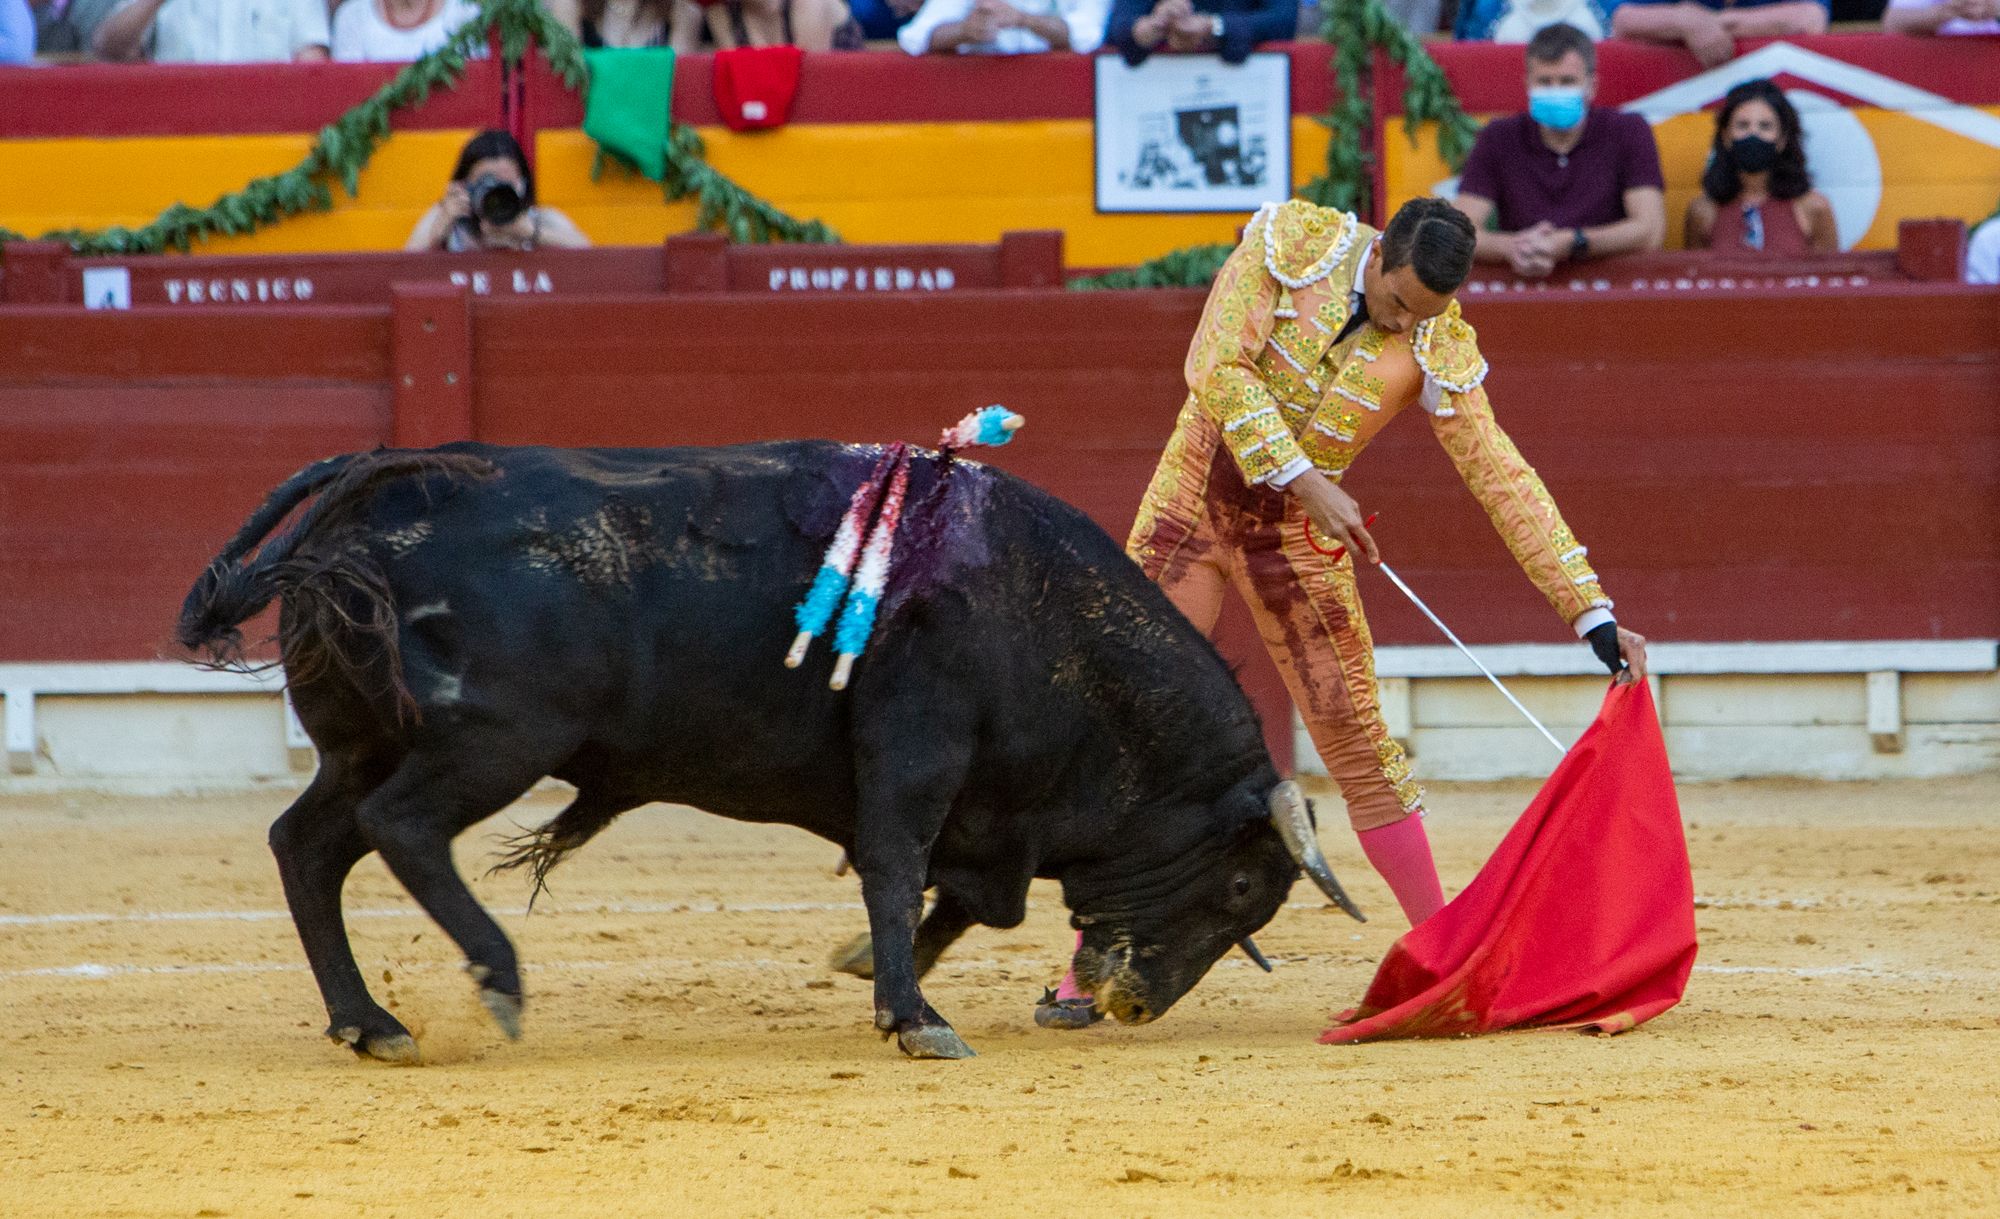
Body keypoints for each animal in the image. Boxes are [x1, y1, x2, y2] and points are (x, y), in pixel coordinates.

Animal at [180, 441, 1360, 1055]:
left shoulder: (984, 809)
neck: (1043, 612)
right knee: (402, 828)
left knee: (307, 845)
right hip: (493, 741)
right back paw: (497, 979)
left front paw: (880, 976)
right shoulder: (918, 748)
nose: (1132, 1002)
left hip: (358, 743)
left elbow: (966, 898)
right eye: (1241, 885)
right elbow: (896, 869)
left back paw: (367, 1020)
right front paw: (914, 1017)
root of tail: (375, 488)